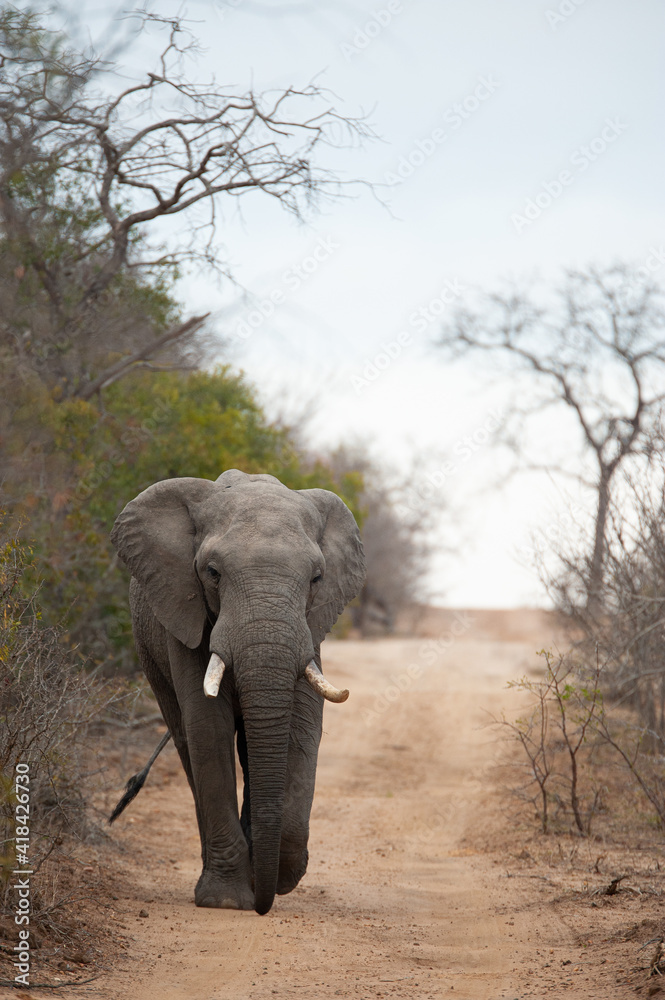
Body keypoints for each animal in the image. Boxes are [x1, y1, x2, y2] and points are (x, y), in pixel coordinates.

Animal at [110, 468, 365, 915]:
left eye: (316, 578)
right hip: (149, 651)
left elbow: (300, 727)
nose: (263, 906)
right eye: (212, 572)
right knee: (187, 741)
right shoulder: (185, 613)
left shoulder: (309, 629)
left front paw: (278, 877)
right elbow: (207, 728)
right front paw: (227, 900)